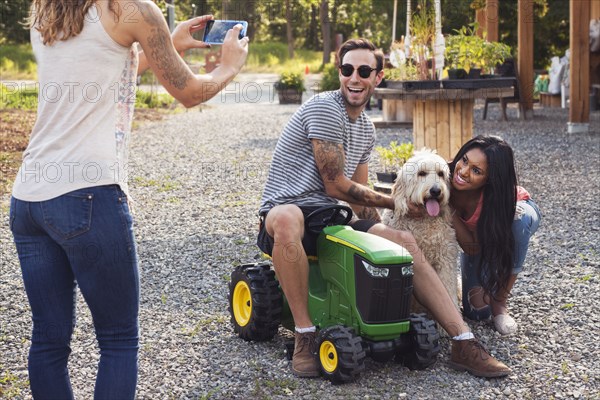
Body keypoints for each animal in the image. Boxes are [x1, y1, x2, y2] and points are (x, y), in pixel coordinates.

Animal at [382, 149, 462, 312]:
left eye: (441, 174)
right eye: (421, 173)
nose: (436, 190)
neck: (424, 220)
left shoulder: (446, 260)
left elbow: (448, 292)